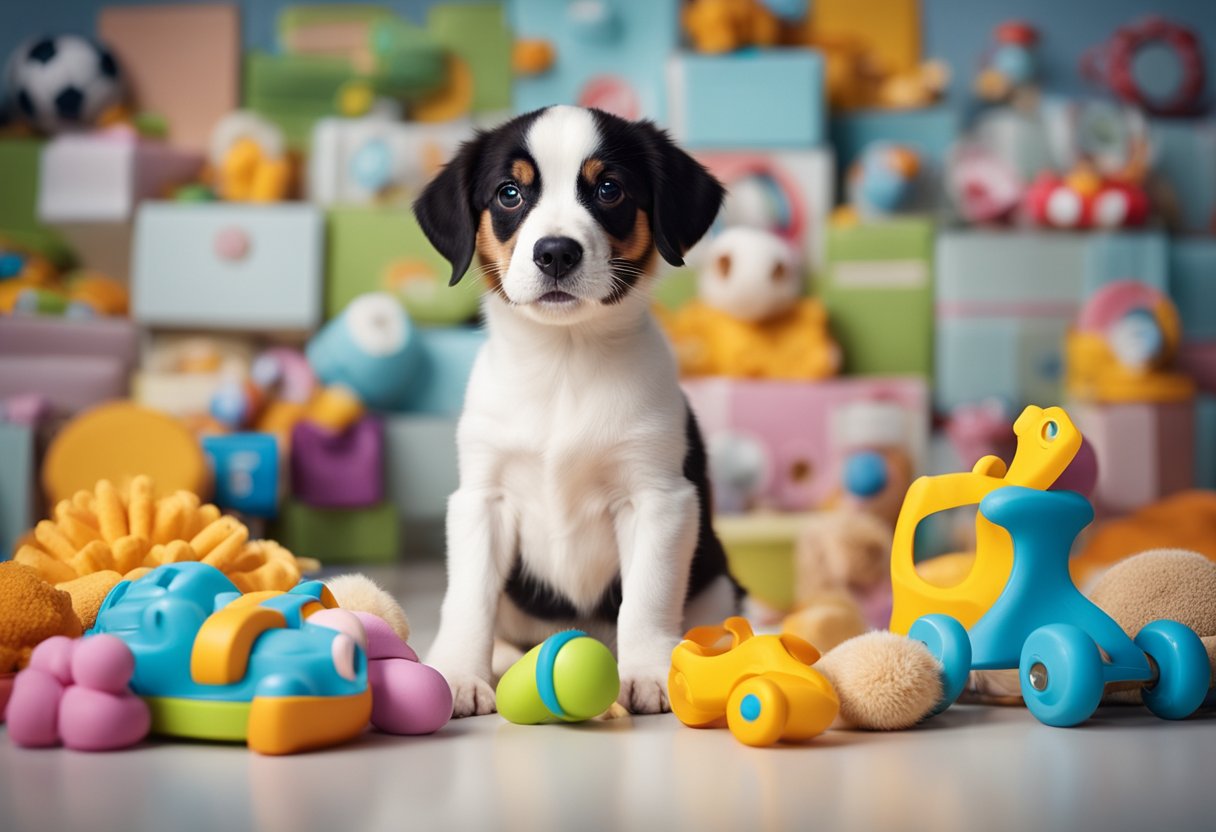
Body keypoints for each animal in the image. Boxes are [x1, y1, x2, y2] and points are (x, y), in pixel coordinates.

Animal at [413, 105, 739, 715]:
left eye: (609, 189)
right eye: (510, 193)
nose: (556, 252)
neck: (564, 364)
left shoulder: (660, 499)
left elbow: (646, 596)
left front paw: (649, 672)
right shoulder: (482, 500)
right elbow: (468, 599)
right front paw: (458, 674)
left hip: (715, 580)